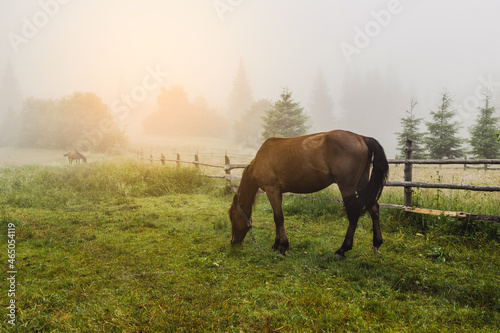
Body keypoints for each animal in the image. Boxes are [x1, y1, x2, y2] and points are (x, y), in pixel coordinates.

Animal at [229, 130, 388, 260]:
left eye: (231, 215)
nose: (233, 242)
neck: (261, 159)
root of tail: (362, 138)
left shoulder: (272, 190)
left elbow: (278, 218)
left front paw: (282, 247)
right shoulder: (277, 192)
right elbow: (277, 218)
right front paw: (276, 245)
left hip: (347, 186)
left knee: (354, 213)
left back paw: (342, 250)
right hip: (361, 184)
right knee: (374, 209)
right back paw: (376, 244)